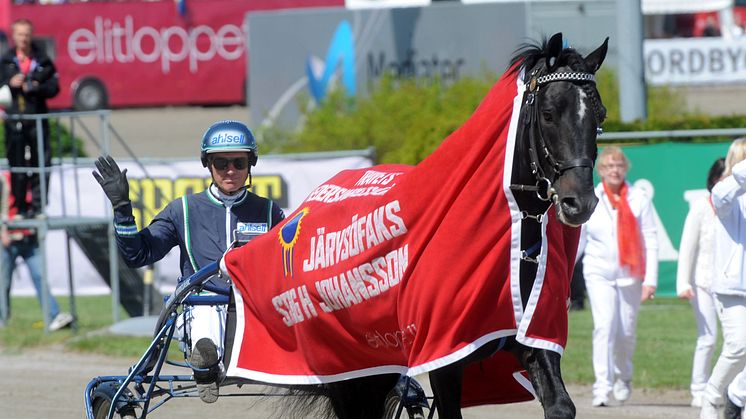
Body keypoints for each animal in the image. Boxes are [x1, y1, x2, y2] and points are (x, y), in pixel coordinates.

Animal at [221, 32, 604, 419]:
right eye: (549, 114)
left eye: (599, 115)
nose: (580, 202)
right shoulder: (442, 354)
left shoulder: (531, 335)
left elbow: (559, 404)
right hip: (346, 366)